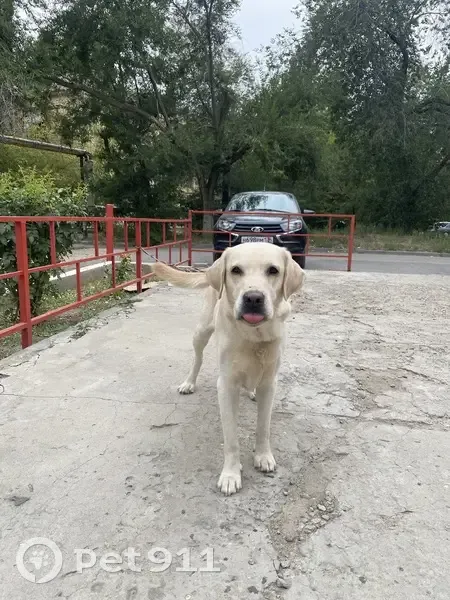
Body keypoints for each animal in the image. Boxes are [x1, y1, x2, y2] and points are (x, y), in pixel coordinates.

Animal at [152, 243, 304, 495]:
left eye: (273, 270)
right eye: (236, 270)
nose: (253, 298)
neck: (254, 335)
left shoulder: (269, 383)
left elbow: (263, 426)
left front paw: (263, 456)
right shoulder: (226, 386)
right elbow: (231, 438)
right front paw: (231, 474)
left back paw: (251, 392)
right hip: (202, 331)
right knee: (197, 358)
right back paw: (189, 382)